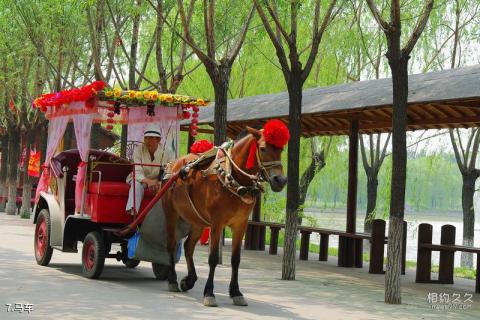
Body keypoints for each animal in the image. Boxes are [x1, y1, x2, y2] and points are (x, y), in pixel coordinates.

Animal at [161, 120, 288, 308]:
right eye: (263, 148)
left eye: (281, 149)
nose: (280, 180)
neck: (232, 177)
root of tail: (172, 166)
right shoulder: (217, 222)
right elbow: (213, 258)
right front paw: (209, 293)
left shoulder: (240, 224)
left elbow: (236, 259)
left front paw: (236, 292)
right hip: (171, 213)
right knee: (171, 244)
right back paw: (172, 280)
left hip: (198, 220)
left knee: (188, 246)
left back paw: (189, 280)